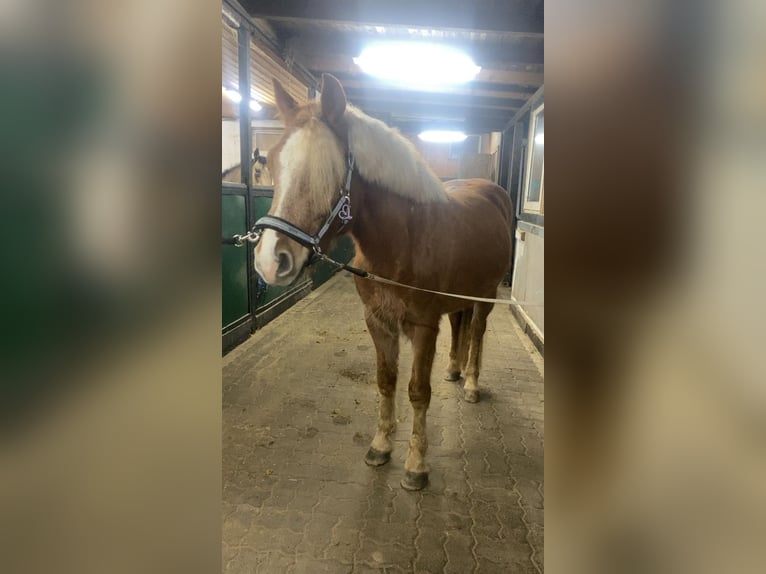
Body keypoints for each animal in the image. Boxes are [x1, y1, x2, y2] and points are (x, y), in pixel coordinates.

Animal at [255, 74, 512, 492]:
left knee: (476, 332)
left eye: (327, 171)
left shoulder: (424, 327)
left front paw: (416, 466)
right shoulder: (377, 322)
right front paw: (380, 446)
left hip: (485, 295)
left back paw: (471, 383)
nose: (269, 261)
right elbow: (386, 381)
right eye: (274, 161)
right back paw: (453, 370)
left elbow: (418, 392)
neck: (404, 242)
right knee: (459, 326)